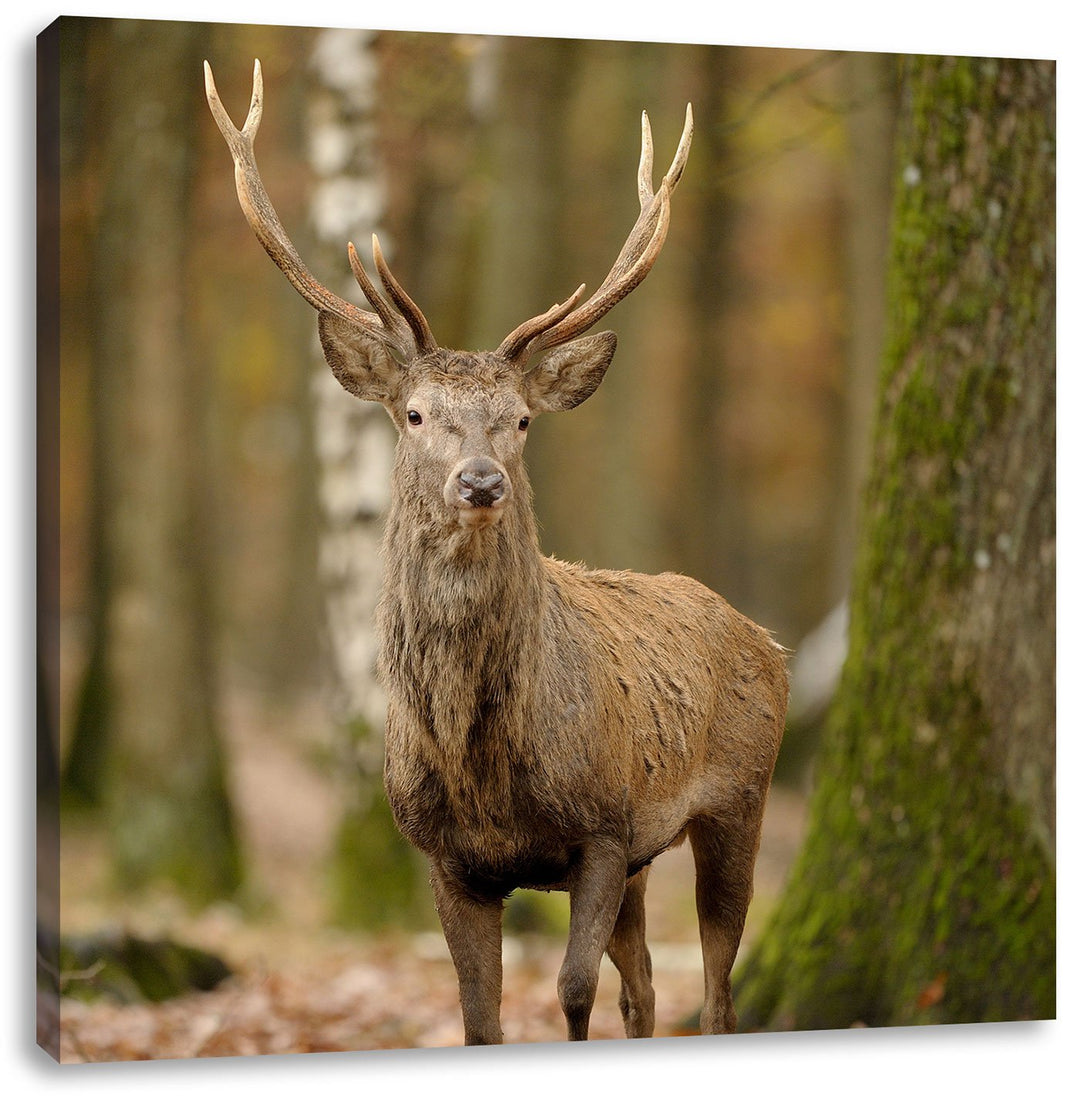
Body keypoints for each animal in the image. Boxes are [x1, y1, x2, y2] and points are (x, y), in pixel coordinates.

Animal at [205, 59, 788, 1045]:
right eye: (413, 413)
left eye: (519, 420)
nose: (480, 482)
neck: (485, 769)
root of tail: (769, 639)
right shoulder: (448, 857)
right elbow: (482, 1016)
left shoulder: (603, 828)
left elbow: (573, 992)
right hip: (652, 856)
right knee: (648, 990)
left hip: (741, 798)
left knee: (716, 993)